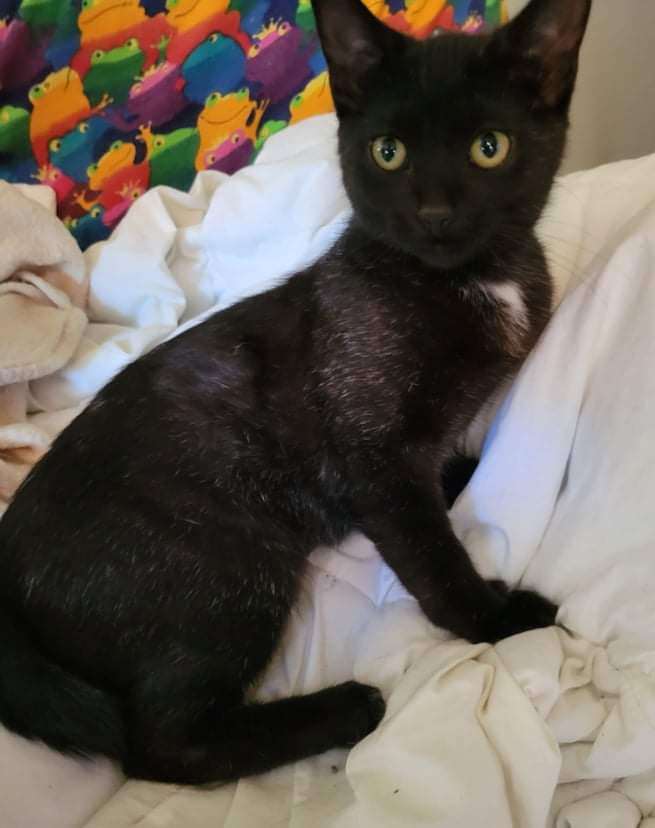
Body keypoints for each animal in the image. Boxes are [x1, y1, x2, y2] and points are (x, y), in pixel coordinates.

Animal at [0, 0, 591, 785]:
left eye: (488, 148)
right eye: (388, 152)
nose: (434, 212)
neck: (470, 280)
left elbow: (435, 480)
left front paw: (461, 473)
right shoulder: (371, 453)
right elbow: (428, 552)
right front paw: (491, 620)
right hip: (227, 562)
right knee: (160, 744)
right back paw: (346, 710)